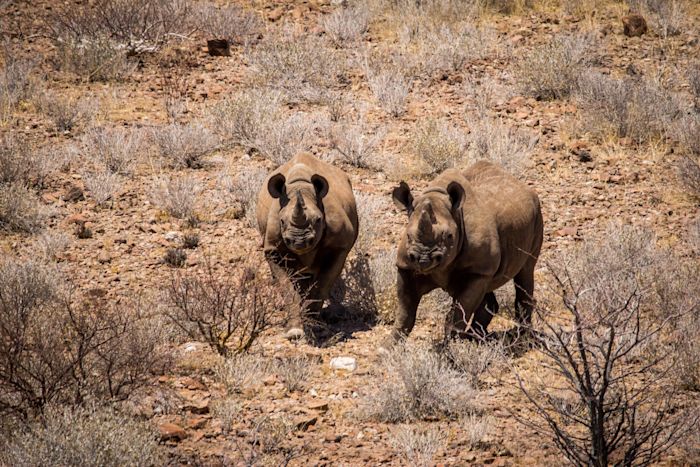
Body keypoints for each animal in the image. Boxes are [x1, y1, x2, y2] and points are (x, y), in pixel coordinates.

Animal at [256, 154, 358, 340]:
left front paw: (316, 329)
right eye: (282, 221)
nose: (299, 241)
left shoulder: (339, 246)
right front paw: (294, 332)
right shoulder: (273, 250)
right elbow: (288, 288)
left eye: (318, 220)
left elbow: (323, 285)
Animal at [386, 162, 544, 348]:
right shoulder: (406, 267)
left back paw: (522, 339)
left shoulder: (478, 270)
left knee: (526, 271)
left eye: (449, 236)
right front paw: (388, 347)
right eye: (409, 237)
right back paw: (477, 338)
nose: (423, 259)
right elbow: (405, 311)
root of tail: (524, 186)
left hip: (537, 215)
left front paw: (451, 349)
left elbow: (460, 311)